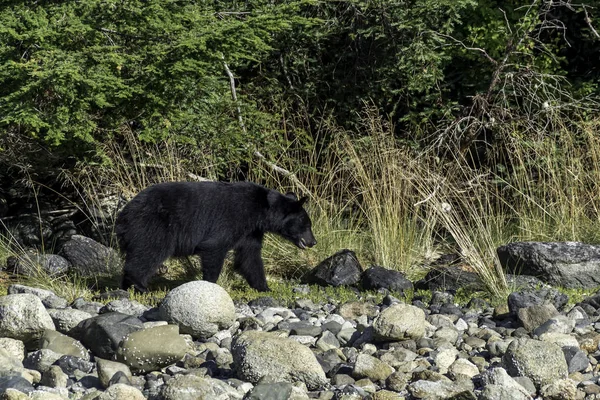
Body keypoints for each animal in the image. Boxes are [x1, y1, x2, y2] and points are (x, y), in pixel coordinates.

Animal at [114, 180, 316, 290]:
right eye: (307, 224)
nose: (313, 241)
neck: (260, 211)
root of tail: (123, 215)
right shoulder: (232, 218)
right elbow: (215, 247)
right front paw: (210, 283)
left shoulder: (251, 231)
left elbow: (250, 256)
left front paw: (264, 287)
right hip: (153, 226)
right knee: (149, 252)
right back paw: (140, 285)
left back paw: (127, 287)